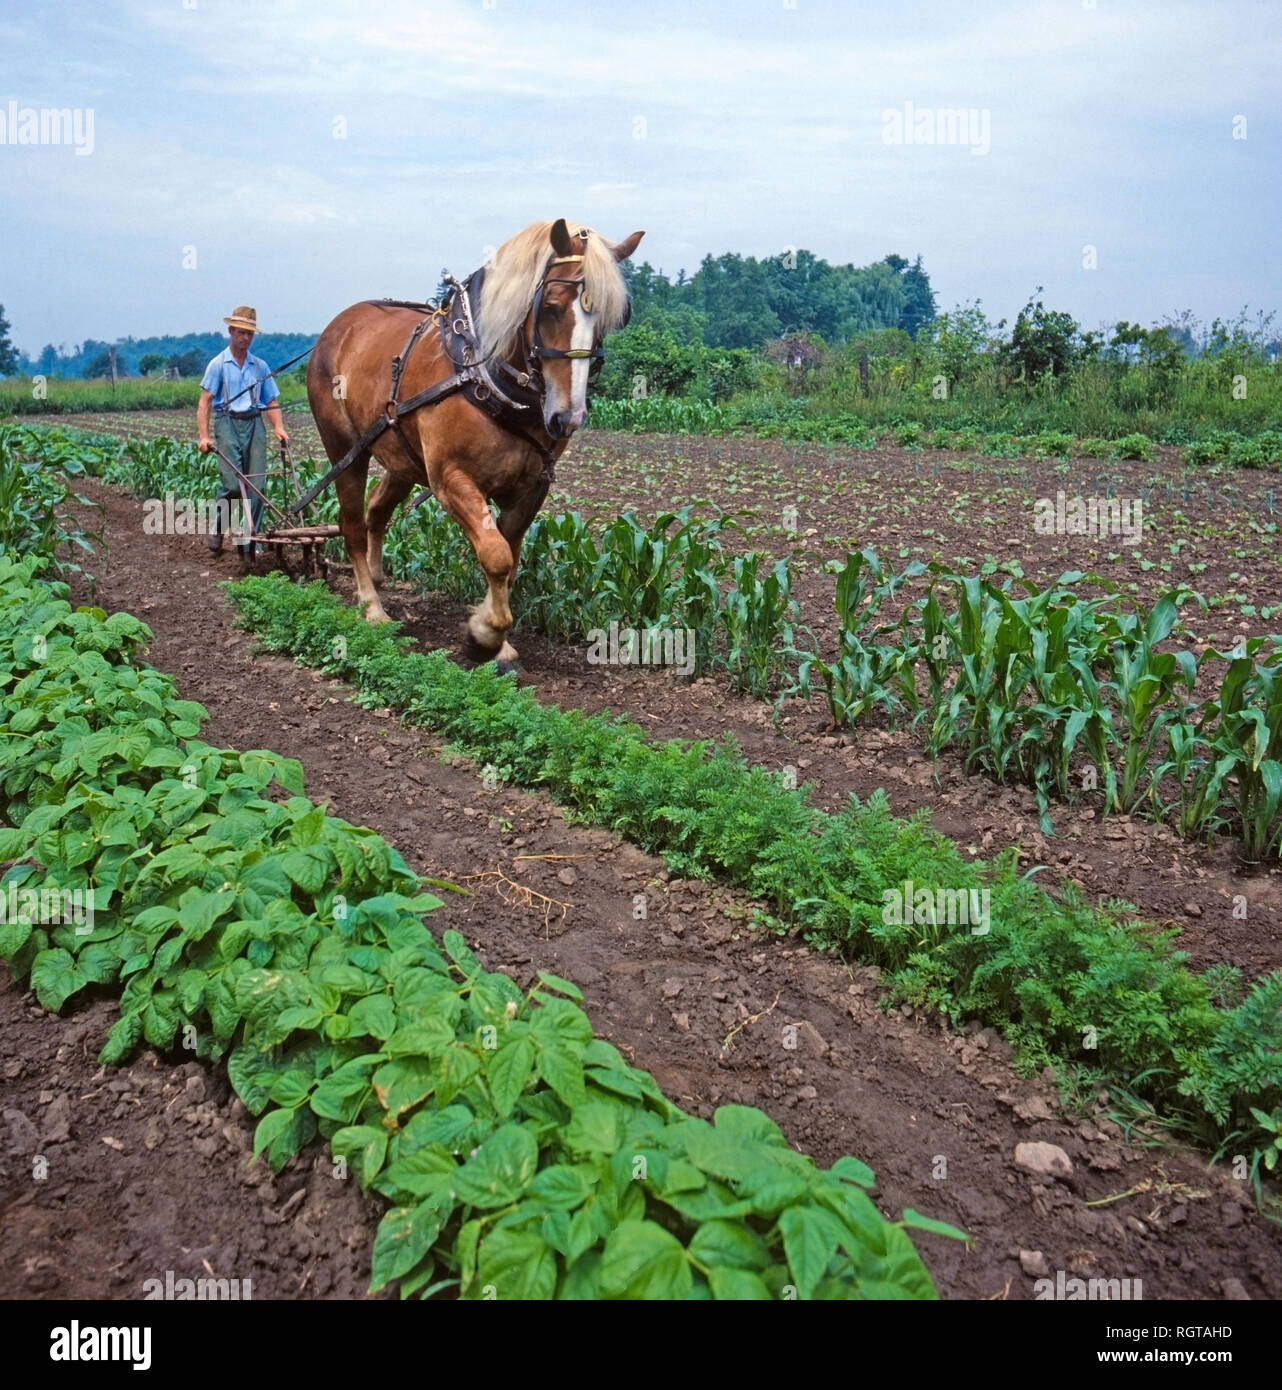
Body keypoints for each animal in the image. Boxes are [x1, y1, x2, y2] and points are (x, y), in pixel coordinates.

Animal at [301, 215, 639, 667]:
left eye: (611, 318)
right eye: (551, 305)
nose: (567, 418)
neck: (486, 376)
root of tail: (339, 324)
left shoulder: (531, 487)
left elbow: (510, 558)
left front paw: (499, 639)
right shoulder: (451, 480)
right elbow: (495, 555)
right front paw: (483, 635)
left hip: (402, 459)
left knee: (377, 511)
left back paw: (376, 576)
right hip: (345, 449)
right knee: (351, 523)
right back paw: (371, 606)